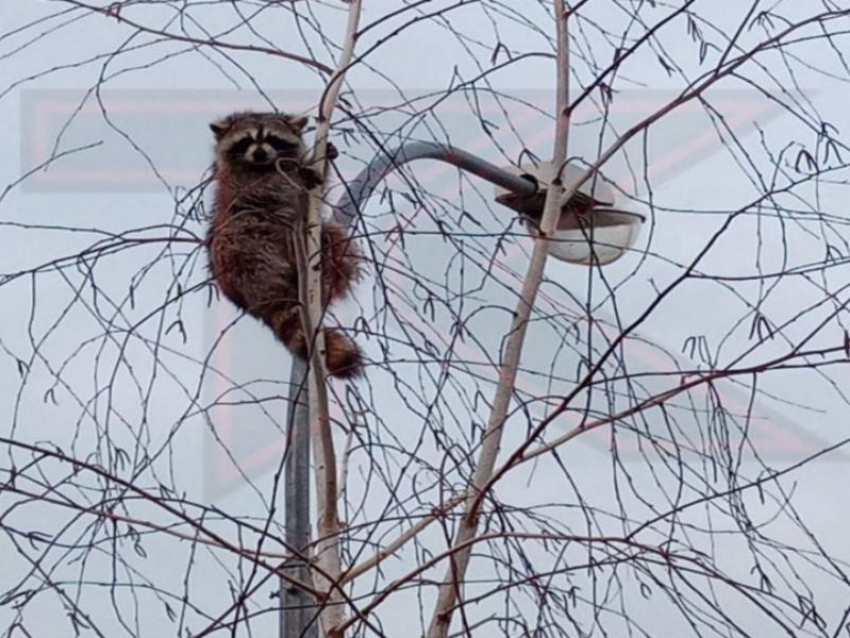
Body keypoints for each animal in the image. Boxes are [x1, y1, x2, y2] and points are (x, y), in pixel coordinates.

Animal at [209, 111, 364, 380]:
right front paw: (303, 174)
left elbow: (308, 199)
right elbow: (279, 190)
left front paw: (319, 163)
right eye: (246, 140)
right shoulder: (245, 185)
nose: (260, 153)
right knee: (250, 229)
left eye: (272, 138)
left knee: (332, 235)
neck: (263, 166)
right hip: (238, 251)